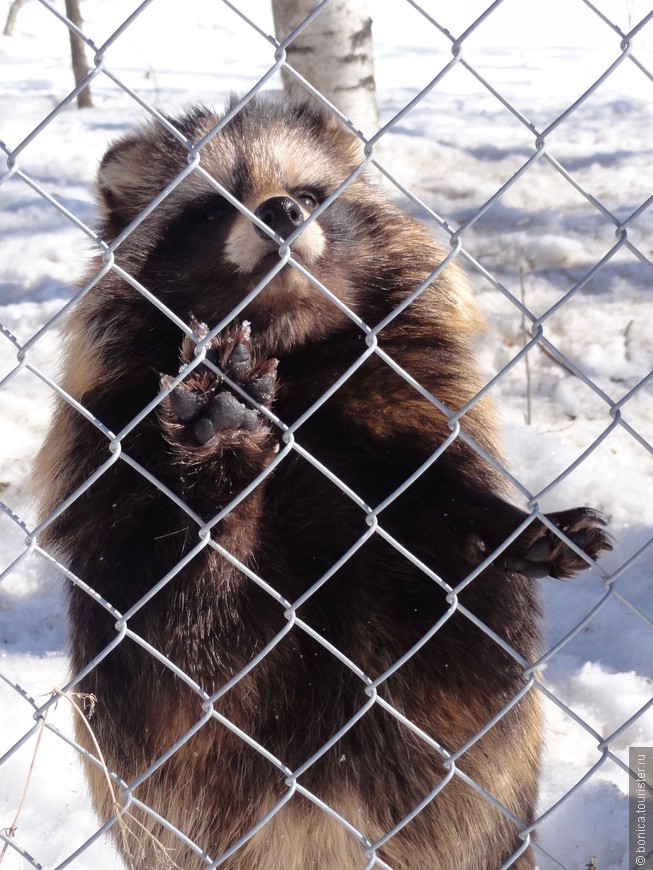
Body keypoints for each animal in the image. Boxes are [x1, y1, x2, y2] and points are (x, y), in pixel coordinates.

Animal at [35, 99, 608, 868]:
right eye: (211, 208)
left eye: (307, 193)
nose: (280, 212)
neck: (285, 344)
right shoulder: (114, 460)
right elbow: (160, 603)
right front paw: (217, 475)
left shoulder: (398, 396)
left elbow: (436, 504)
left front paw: (512, 524)